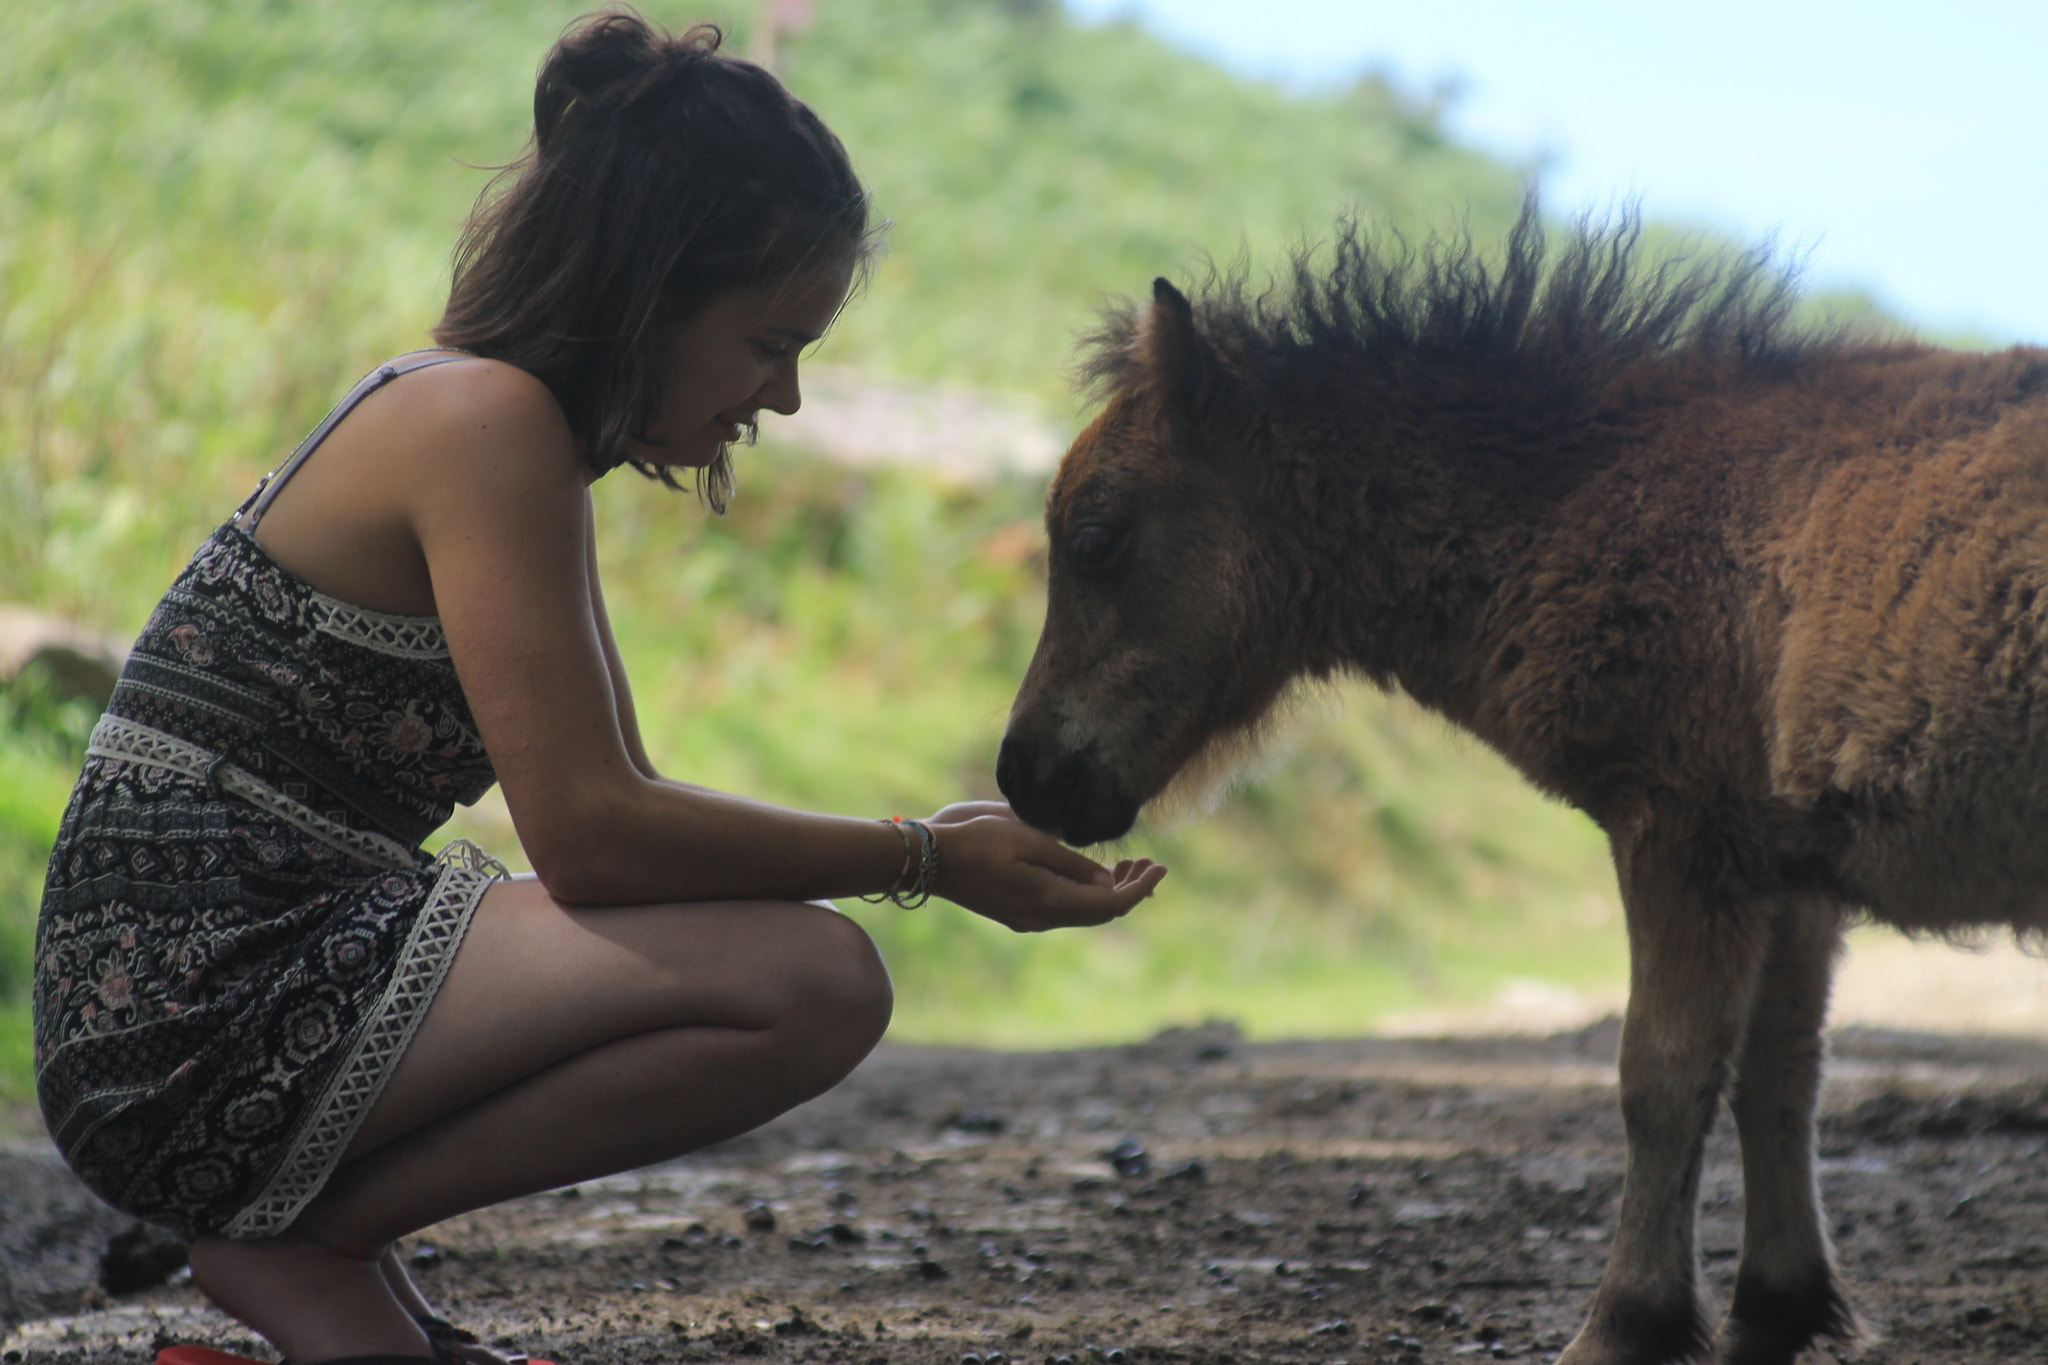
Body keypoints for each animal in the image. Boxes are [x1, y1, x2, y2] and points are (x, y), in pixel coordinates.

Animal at [999, 205, 2048, 1365]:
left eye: (1096, 538)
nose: (1024, 773)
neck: (1603, 497)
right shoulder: (1792, 869)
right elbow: (1779, 1069)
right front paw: (1775, 1306)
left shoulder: (1683, 831)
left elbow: (1662, 1076)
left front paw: (1627, 1322)